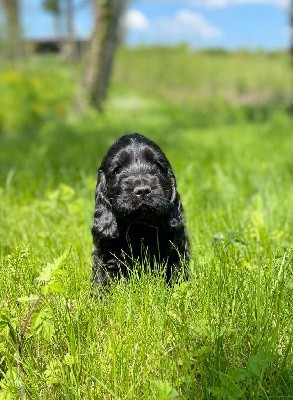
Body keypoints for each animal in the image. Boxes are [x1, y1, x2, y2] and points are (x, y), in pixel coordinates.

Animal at [90, 134, 188, 288]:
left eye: (157, 165)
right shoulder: (106, 255)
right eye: (117, 169)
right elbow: (102, 279)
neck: (140, 226)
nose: (142, 190)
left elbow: (176, 277)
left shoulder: (175, 251)